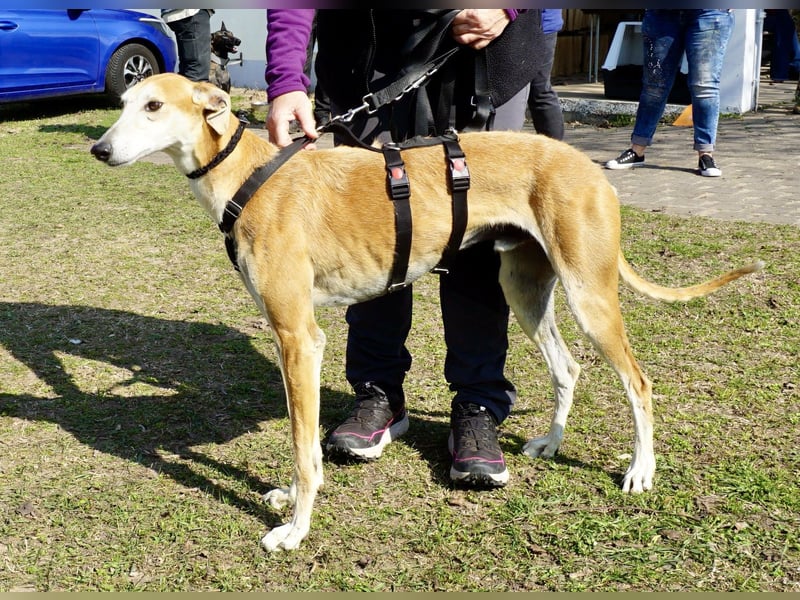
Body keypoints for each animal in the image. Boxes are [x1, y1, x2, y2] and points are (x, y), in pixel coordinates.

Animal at [90, 74, 763, 552]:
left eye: (154, 106)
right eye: (124, 103)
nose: (98, 148)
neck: (247, 176)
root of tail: (587, 167)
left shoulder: (298, 337)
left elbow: (305, 446)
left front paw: (296, 529)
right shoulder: (293, 338)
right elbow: (305, 446)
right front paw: (289, 499)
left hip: (589, 295)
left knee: (639, 383)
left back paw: (639, 471)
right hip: (526, 290)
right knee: (568, 368)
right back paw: (549, 442)